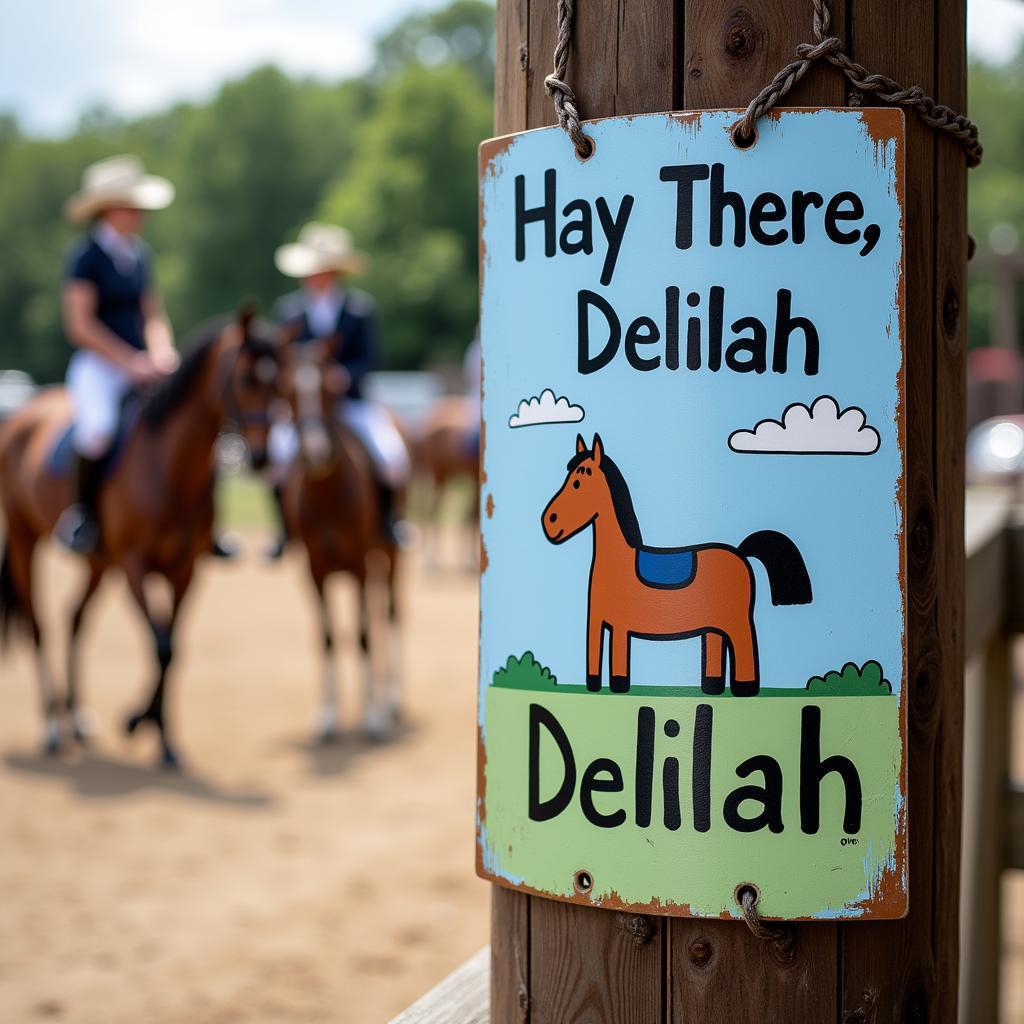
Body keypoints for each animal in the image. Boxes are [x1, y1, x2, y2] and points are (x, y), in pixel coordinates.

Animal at [0, 315, 280, 765]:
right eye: (246, 378)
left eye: (281, 377)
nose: (262, 456)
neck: (168, 466)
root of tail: (23, 415)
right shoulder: (135, 565)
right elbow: (159, 644)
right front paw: (139, 722)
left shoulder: (185, 569)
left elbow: (174, 647)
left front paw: (161, 735)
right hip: (27, 542)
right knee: (37, 626)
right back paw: (52, 729)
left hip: (99, 563)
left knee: (74, 618)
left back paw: (77, 720)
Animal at [282, 342, 405, 737]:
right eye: (288, 391)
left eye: (328, 390)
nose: (313, 450)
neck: (326, 493)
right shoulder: (314, 569)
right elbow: (328, 638)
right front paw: (328, 715)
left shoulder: (359, 564)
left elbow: (364, 635)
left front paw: (372, 718)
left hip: (391, 556)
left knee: (391, 616)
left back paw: (391, 701)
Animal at [413, 393, 477, 569]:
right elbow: (473, 514)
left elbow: (472, 514)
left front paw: (472, 558)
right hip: (439, 473)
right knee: (433, 509)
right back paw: (431, 557)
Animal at [540, 432, 811, 696]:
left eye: (577, 482)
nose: (549, 521)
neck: (616, 561)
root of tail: (740, 552)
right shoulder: (596, 621)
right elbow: (593, 661)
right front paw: (595, 687)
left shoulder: (620, 627)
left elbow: (618, 663)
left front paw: (618, 688)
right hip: (714, 625)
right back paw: (712, 688)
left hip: (738, 622)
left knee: (745, 648)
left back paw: (745, 689)